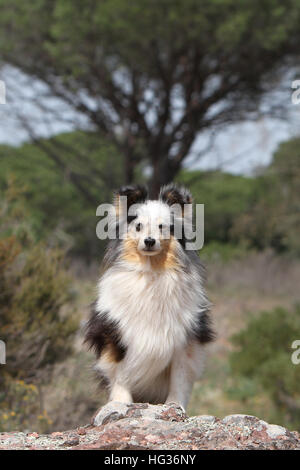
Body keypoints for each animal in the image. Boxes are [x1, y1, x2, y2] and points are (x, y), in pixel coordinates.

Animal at [85, 184, 213, 412]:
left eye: (163, 227)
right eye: (138, 226)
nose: (149, 241)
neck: (151, 270)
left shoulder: (185, 340)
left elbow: (179, 377)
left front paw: (174, 405)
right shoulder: (117, 333)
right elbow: (121, 374)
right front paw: (121, 402)